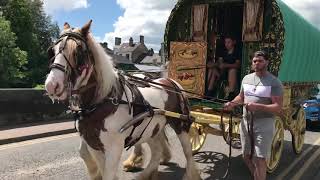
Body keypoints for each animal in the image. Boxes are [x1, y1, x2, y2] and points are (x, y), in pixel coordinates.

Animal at [44, 20, 200, 180]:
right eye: (52, 51)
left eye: (78, 52)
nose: (52, 85)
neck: (103, 102)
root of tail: (171, 81)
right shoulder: (93, 144)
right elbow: (98, 165)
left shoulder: (114, 148)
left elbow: (108, 173)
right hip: (152, 129)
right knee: (157, 152)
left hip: (181, 124)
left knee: (187, 152)